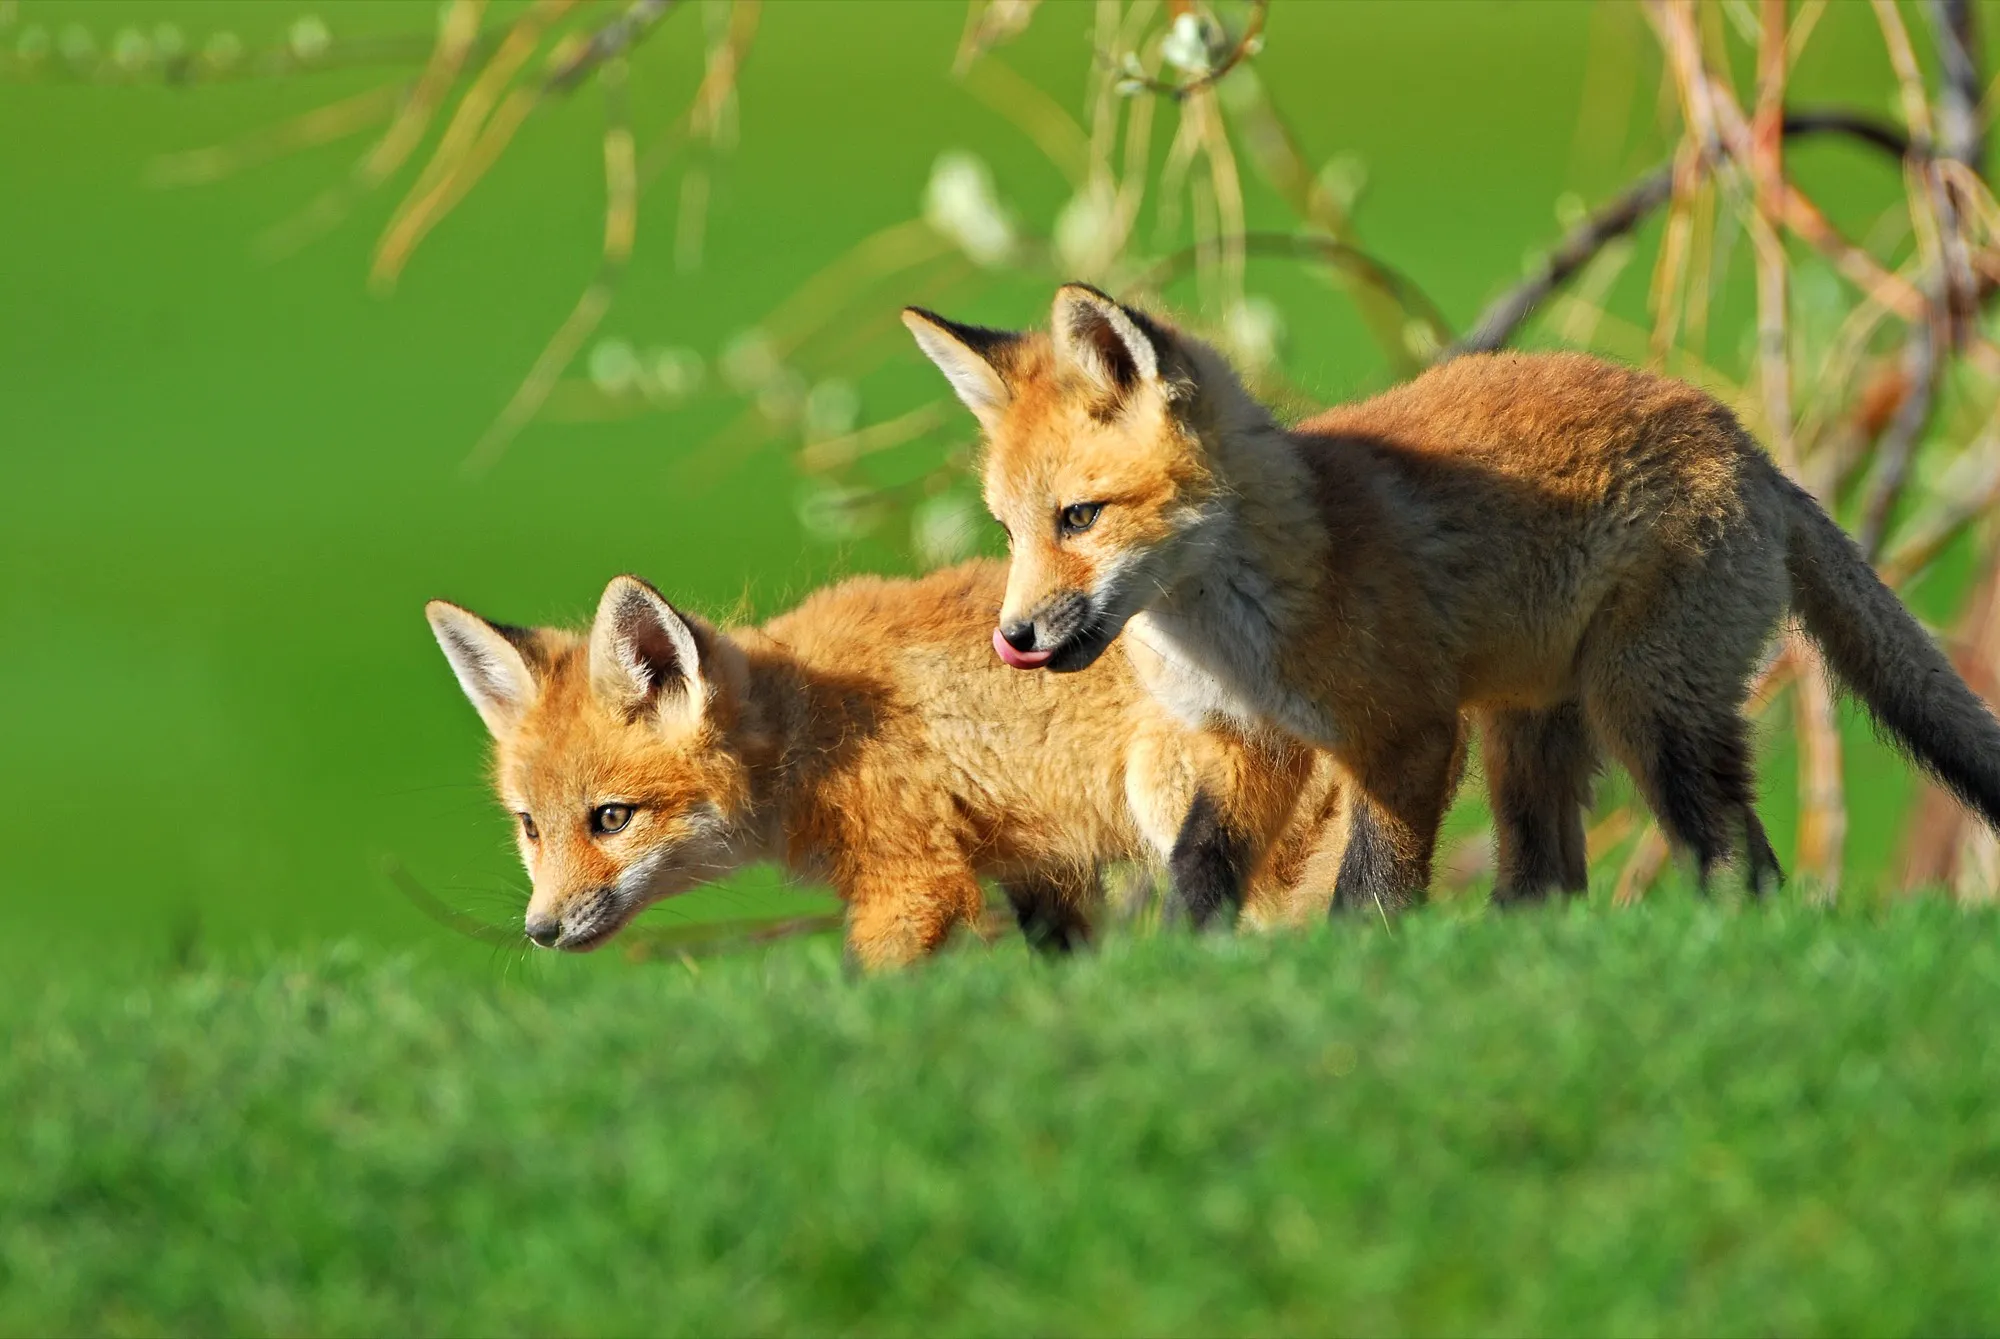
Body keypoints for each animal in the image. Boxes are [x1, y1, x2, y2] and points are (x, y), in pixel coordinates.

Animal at [424, 560, 1340, 968]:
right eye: (531, 828)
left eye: (611, 818)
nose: (539, 931)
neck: (813, 733)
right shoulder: (1037, 866)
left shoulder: (916, 877)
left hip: (1182, 804)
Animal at [903, 284, 2000, 917]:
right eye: (1009, 530)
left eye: (1079, 517)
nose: (1013, 637)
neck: (1232, 629)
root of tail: (1748, 446)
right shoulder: (1244, 742)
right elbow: (1198, 872)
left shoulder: (1406, 735)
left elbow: (1369, 891)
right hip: (1531, 732)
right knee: (1545, 879)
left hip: (1651, 715)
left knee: (1741, 859)